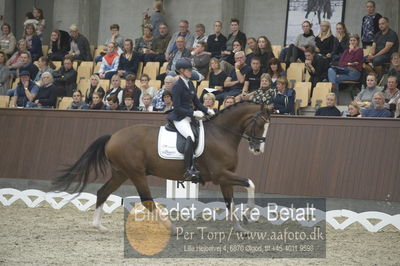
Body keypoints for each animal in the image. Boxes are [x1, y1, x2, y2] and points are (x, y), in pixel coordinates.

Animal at [53, 101, 270, 232]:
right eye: (260, 124)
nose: (258, 149)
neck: (221, 134)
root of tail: (113, 137)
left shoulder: (226, 177)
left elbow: (230, 201)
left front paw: (239, 227)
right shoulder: (219, 175)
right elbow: (250, 183)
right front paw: (248, 215)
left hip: (121, 173)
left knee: (103, 192)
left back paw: (99, 226)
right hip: (136, 173)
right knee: (146, 200)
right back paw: (172, 228)